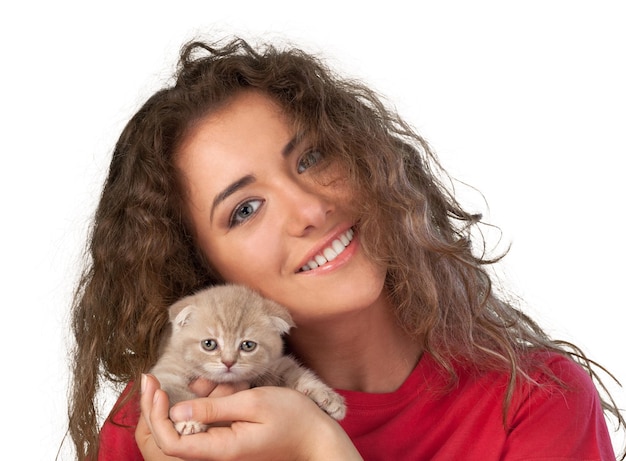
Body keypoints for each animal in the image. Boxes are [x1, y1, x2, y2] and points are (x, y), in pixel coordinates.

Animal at [151, 282, 346, 434]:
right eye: (209, 344)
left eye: (248, 345)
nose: (228, 362)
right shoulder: (168, 371)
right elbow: (176, 392)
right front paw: (188, 418)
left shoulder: (272, 365)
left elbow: (296, 372)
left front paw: (327, 397)